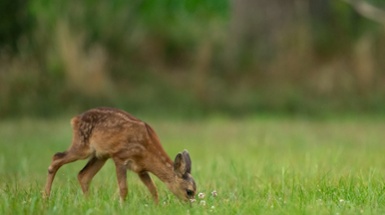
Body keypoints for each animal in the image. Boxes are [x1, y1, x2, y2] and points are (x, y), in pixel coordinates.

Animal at [43, 107, 196, 203]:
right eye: (189, 191)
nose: (190, 207)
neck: (147, 151)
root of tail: (75, 119)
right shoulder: (120, 157)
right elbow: (124, 189)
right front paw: (121, 206)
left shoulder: (140, 169)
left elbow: (153, 189)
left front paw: (156, 207)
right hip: (82, 147)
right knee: (56, 157)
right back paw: (45, 197)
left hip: (100, 156)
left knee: (83, 175)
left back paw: (88, 202)